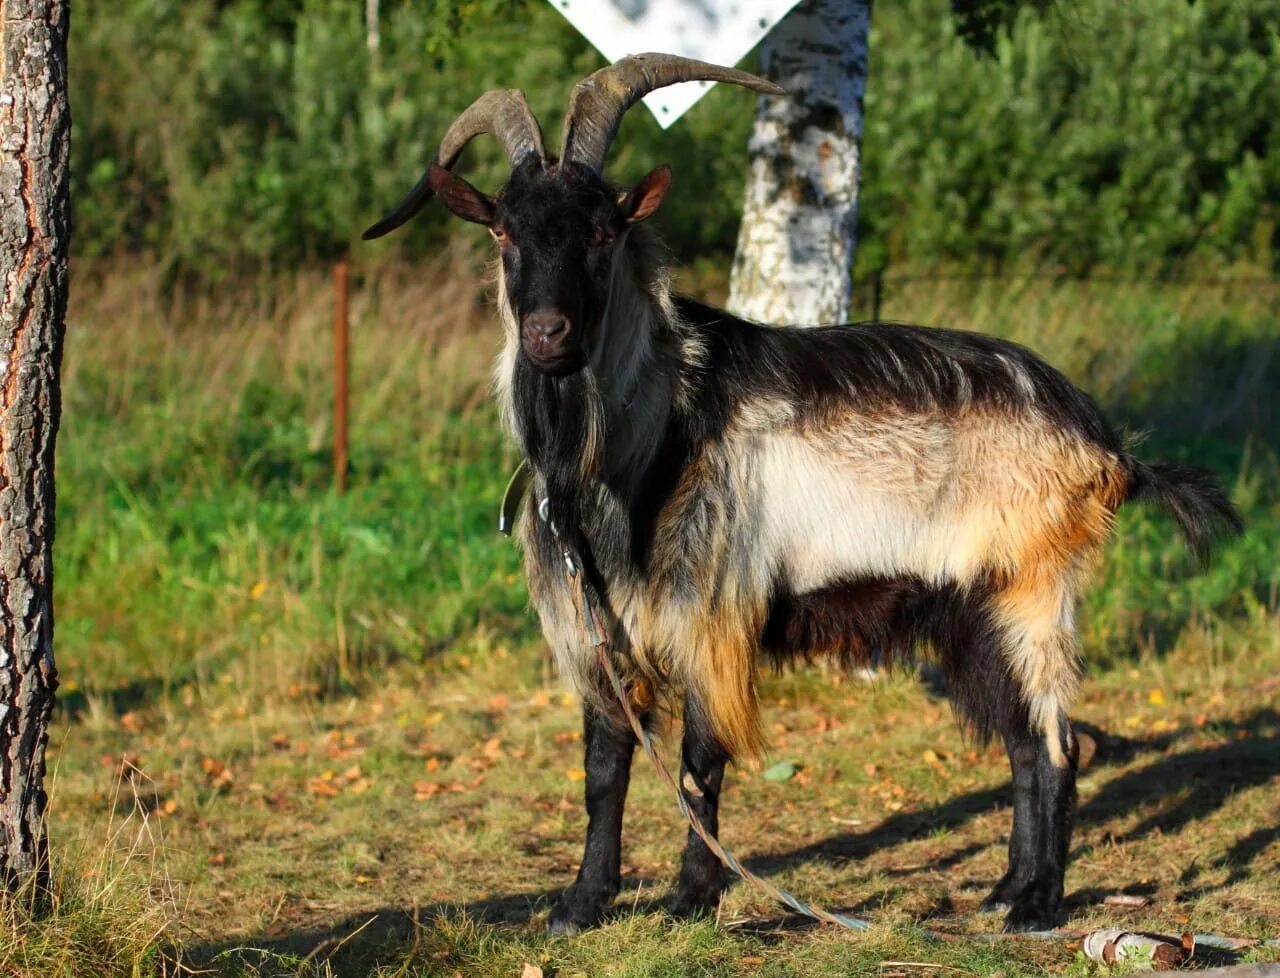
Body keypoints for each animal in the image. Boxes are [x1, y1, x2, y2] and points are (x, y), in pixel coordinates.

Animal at [366, 55, 1244, 942]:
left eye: (601, 232)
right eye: (504, 232)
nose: (549, 334)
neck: (649, 440)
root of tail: (1104, 444)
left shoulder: (713, 613)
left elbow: (699, 765)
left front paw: (689, 902)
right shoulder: (602, 625)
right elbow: (603, 766)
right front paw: (581, 906)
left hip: (1032, 587)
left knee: (1059, 742)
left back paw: (1040, 905)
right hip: (969, 611)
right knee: (1025, 744)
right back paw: (1005, 895)